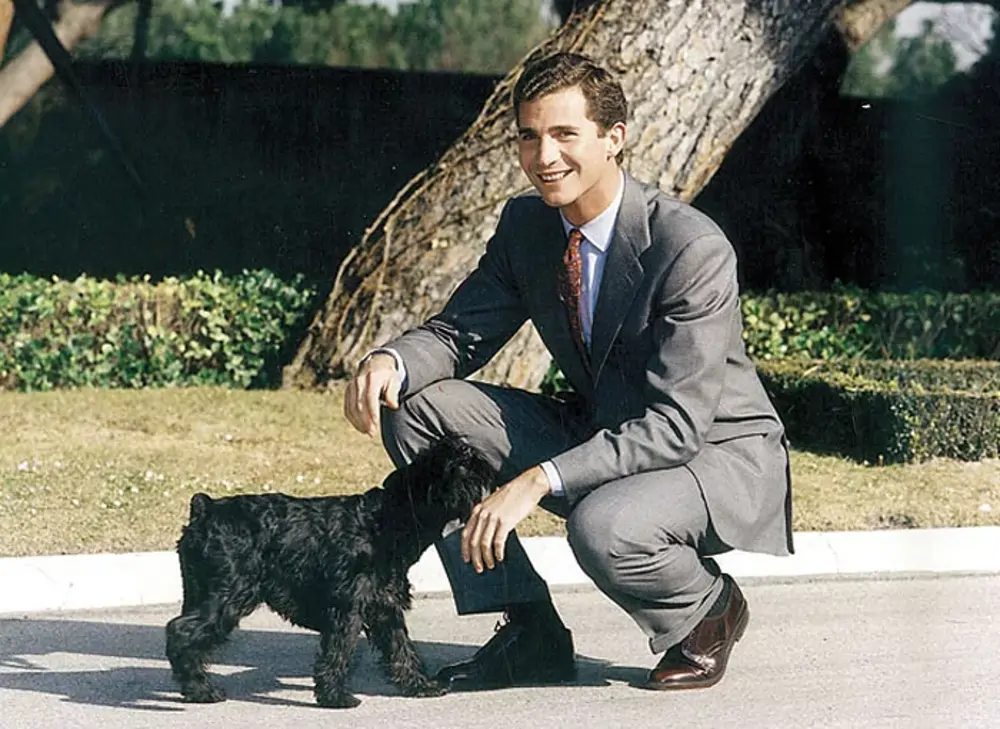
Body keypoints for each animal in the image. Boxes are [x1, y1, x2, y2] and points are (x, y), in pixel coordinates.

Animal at [165, 436, 496, 708]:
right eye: (456, 466)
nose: (469, 451)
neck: (387, 519)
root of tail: (204, 509)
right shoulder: (347, 608)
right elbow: (339, 651)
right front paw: (335, 697)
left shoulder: (385, 607)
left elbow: (401, 648)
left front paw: (419, 685)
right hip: (226, 599)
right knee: (181, 631)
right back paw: (200, 689)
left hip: (200, 593)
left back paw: (195, 688)